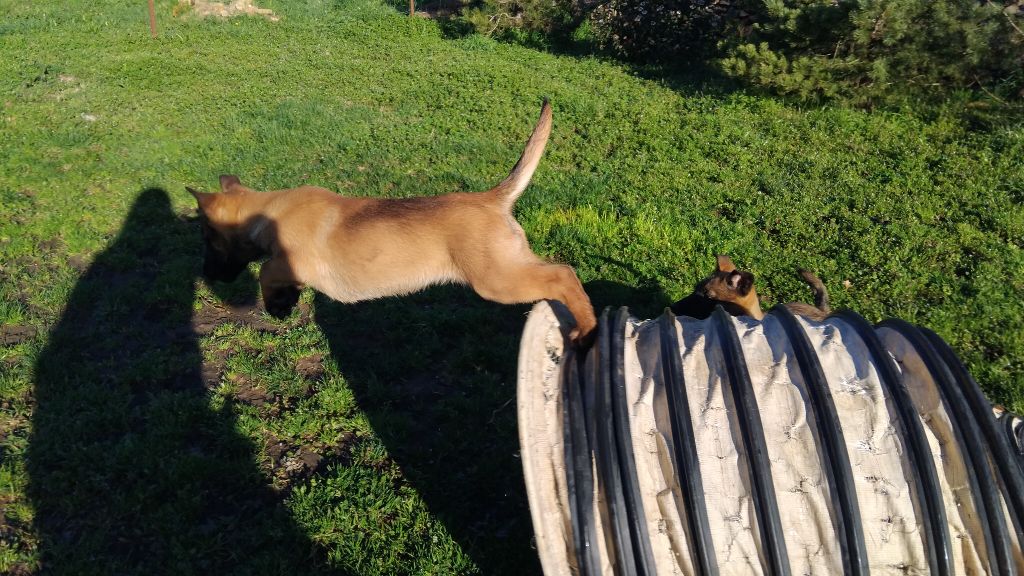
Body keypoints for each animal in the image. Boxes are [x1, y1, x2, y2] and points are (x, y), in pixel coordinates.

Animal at [190, 98, 598, 344]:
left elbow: (265, 270)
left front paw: (276, 305)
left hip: (497, 279)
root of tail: (492, 199)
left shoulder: (292, 261)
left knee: (563, 275)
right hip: (512, 263)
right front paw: (284, 302)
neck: (268, 211)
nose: (207, 275)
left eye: (208, 239)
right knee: (562, 272)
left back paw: (587, 330)